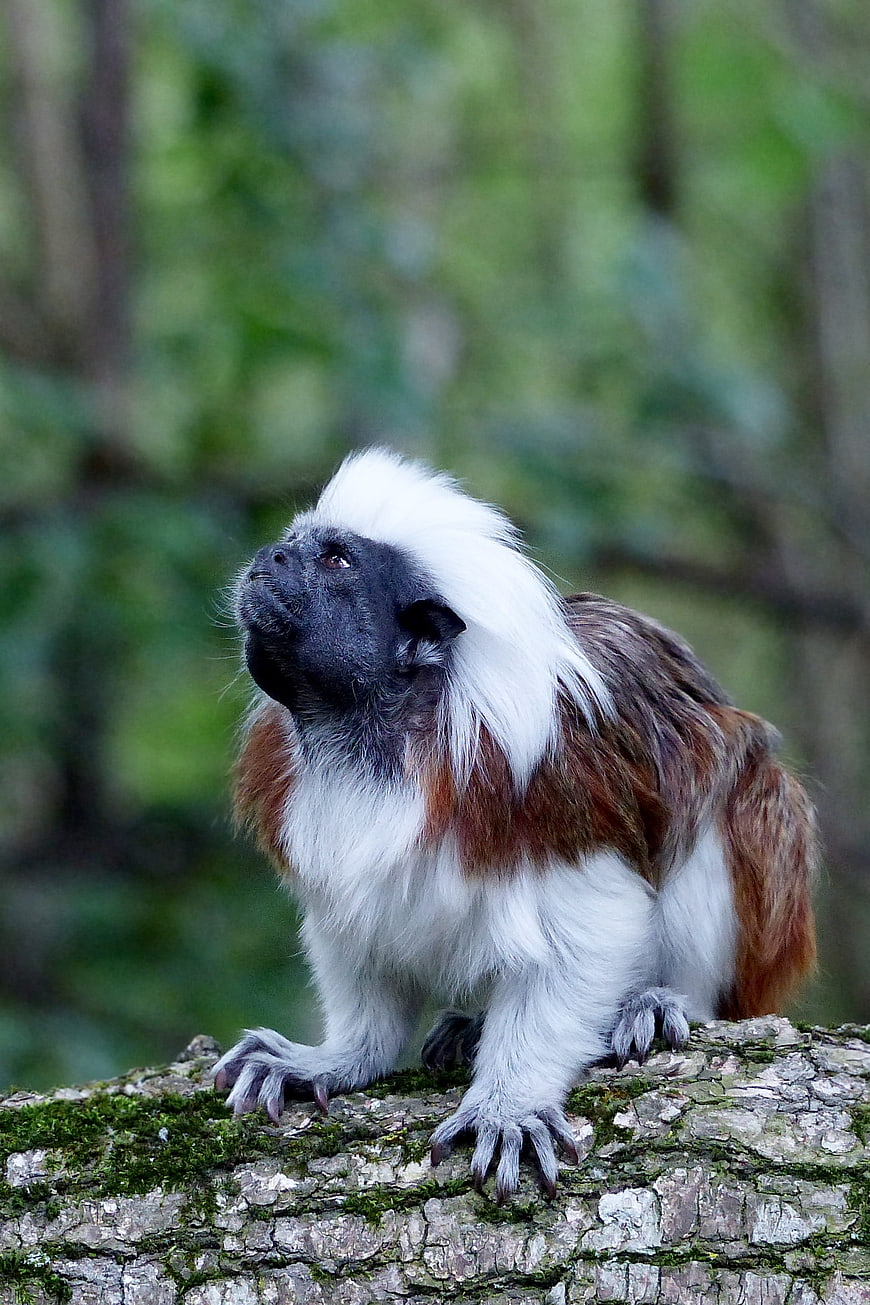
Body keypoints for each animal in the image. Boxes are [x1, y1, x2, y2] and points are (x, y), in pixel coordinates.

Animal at [213, 448, 816, 1200]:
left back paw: (655, 1002)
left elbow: (594, 927)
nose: (268, 557)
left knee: (721, 788)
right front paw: (336, 1058)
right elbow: (360, 945)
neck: (378, 740)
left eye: (334, 561)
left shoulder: (551, 797)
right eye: (291, 546)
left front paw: (510, 1102)